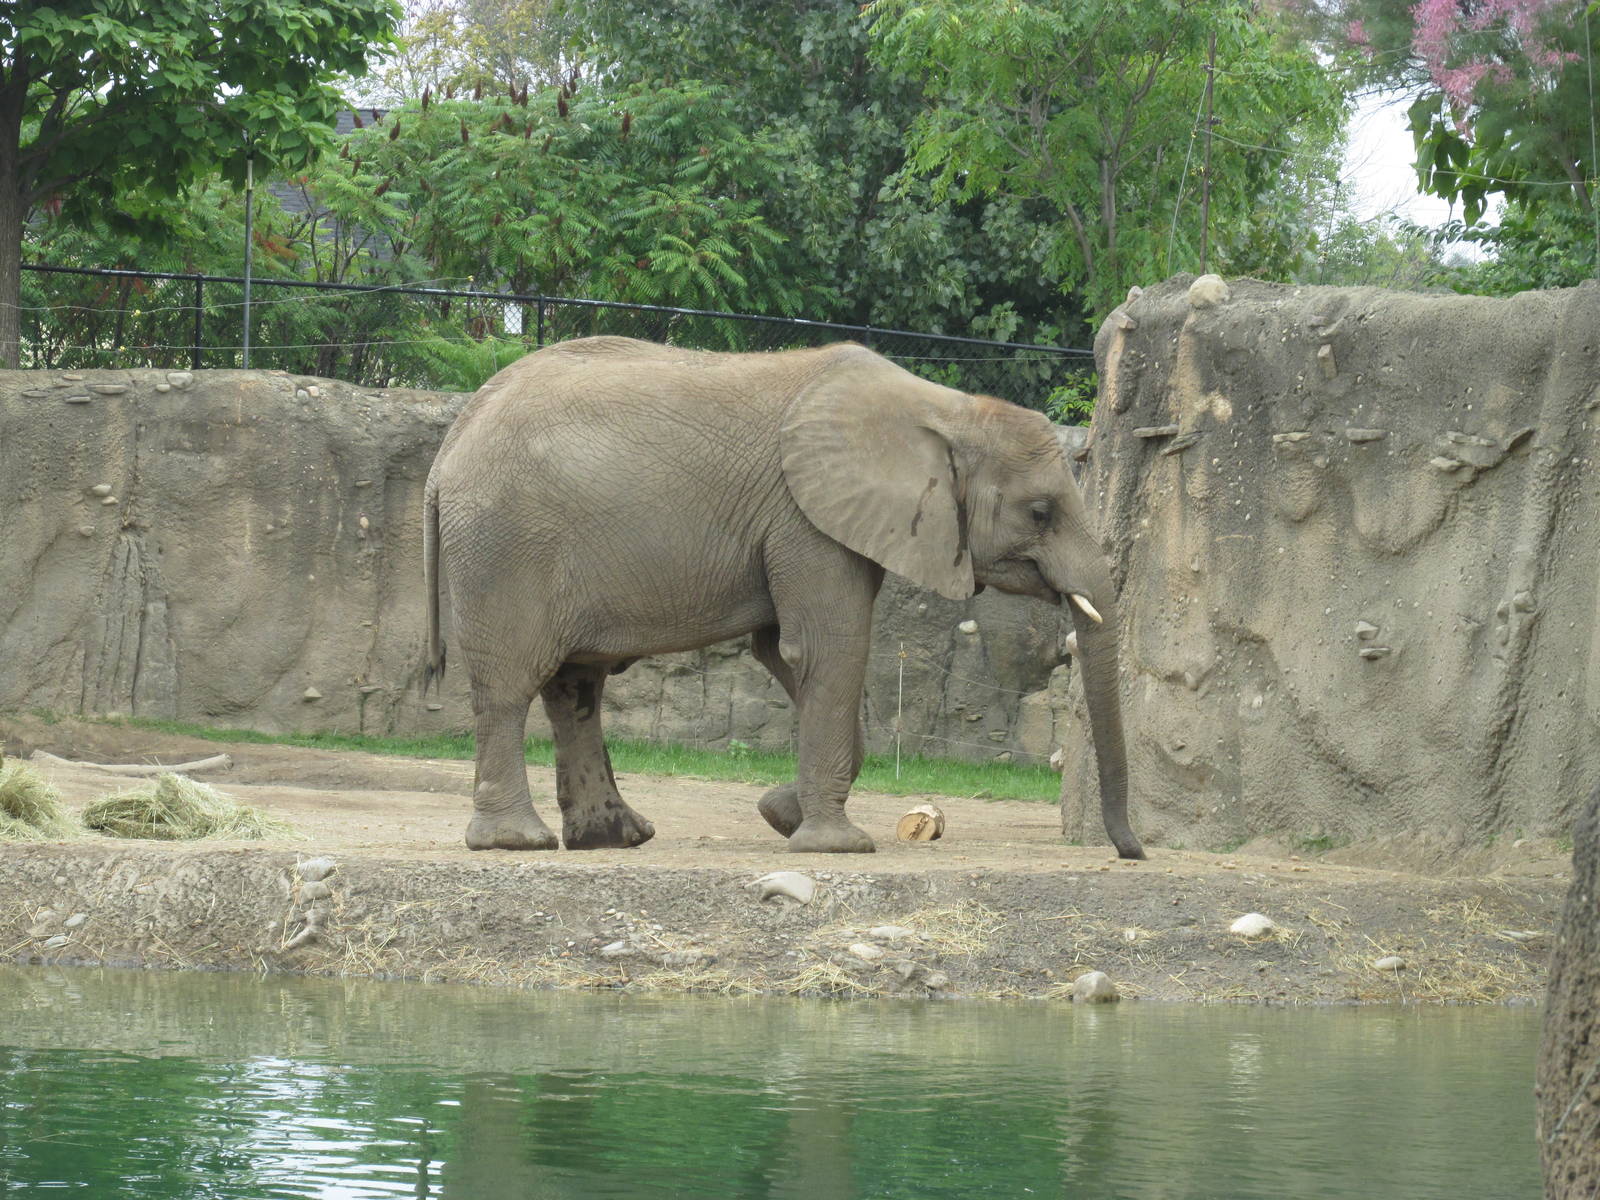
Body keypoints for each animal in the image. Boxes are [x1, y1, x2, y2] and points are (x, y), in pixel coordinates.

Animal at [424, 335, 1143, 858]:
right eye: (1042, 512)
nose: (1130, 852)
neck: (944, 407)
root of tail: (447, 449)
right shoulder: (806, 518)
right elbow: (827, 650)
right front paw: (837, 847)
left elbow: (783, 652)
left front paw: (780, 814)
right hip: (505, 547)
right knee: (511, 685)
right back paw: (517, 842)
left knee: (577, 687)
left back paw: (615, 839)